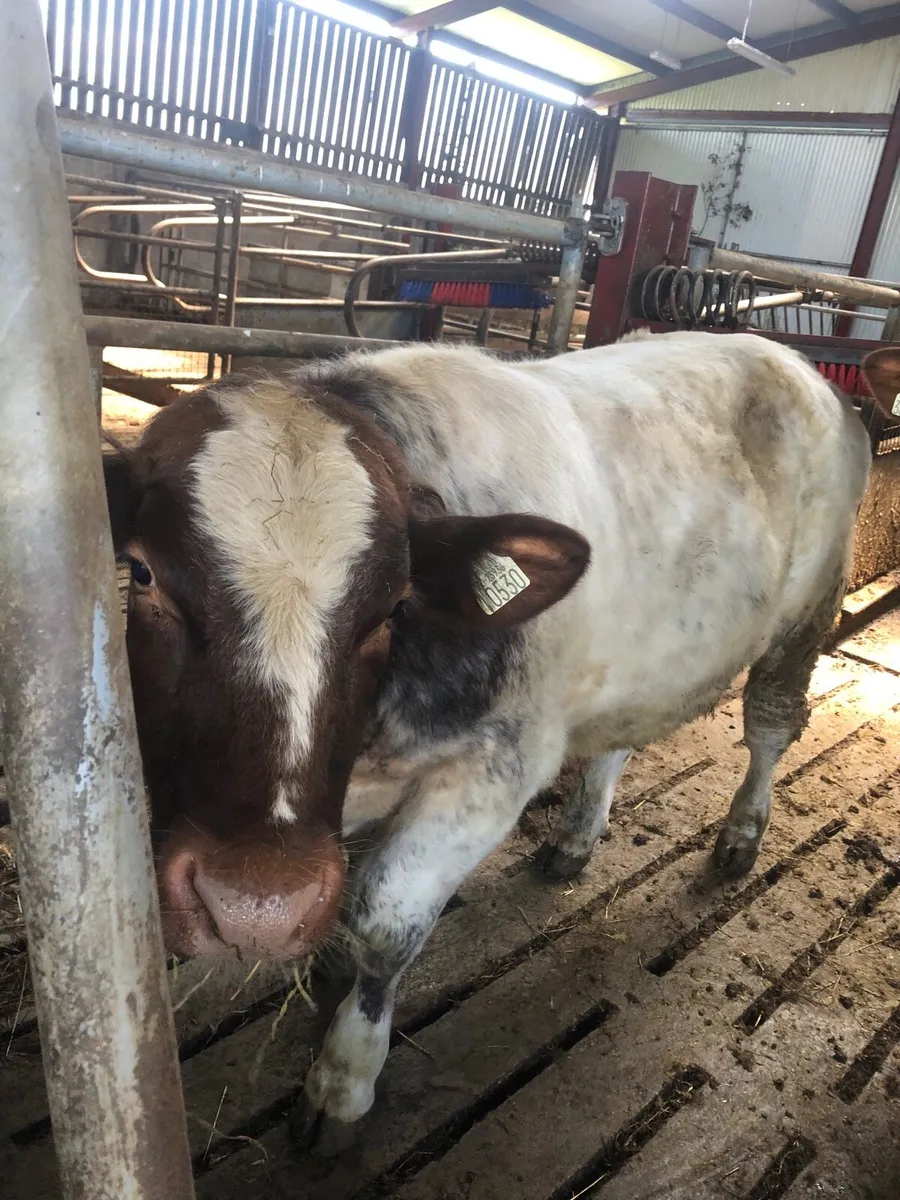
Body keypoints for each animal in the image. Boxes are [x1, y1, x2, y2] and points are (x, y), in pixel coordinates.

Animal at [101, 329, 871, 1145]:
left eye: (391, 607)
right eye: (142, 573)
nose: (256, 904)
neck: (367, 752)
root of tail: (793, 361)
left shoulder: (492, 774)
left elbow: (383, 922)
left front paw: (345, 1075)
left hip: (808, 612)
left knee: (770, 726)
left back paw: (741, 834)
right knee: (616, 741)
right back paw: (576, 837)